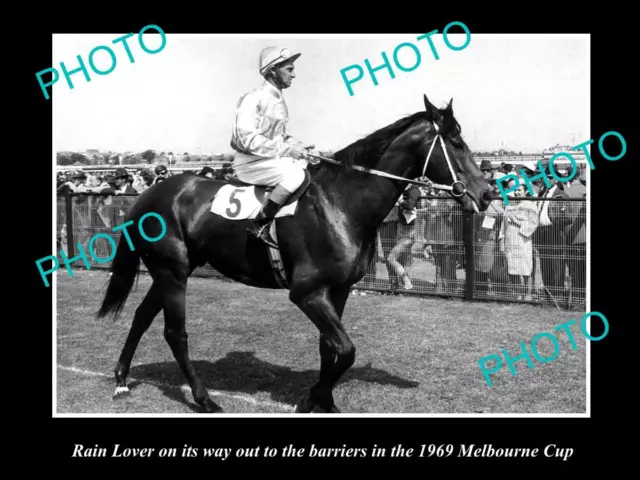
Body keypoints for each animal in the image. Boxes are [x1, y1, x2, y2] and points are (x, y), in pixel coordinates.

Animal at [97, 94, 492, 412]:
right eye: (456, 142)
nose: (487, 194)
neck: (340, 204)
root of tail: (149, 195)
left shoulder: (338, 290)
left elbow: (329, 349)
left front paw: (325, 402)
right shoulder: (306, 293)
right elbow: (345, 350)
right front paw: (309, 400)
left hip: (170, 271)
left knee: (141, 317)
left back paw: (121, 379)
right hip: (172, 272)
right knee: (174, 333)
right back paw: (204, 398)